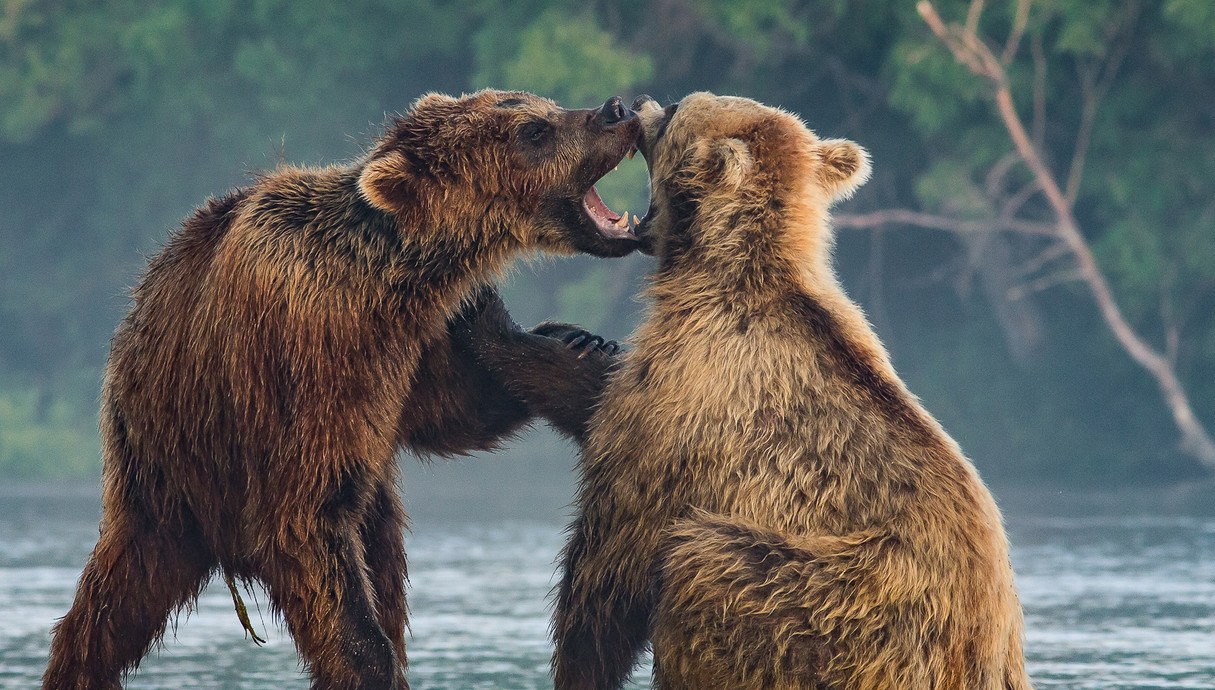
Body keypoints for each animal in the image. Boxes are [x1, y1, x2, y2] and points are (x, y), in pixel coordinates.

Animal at [42, 91, 641, 689]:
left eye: (545, 106)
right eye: (534, 130)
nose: (616, 109)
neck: (395, 278)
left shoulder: (412, 352)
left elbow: (459, 410)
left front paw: (573, 339)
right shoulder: (315, 353)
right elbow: (308, 518)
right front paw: (369, 661)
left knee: (385, 567)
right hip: (167, 473)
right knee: (109, 610)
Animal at [468, 91, 1030, 689]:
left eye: (675, 110)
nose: (639, 102)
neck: (713, 269)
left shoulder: (687, 404)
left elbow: (609, 560)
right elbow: (592, 393)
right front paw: (563, 338)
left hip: (842, 605)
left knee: (705, 565)